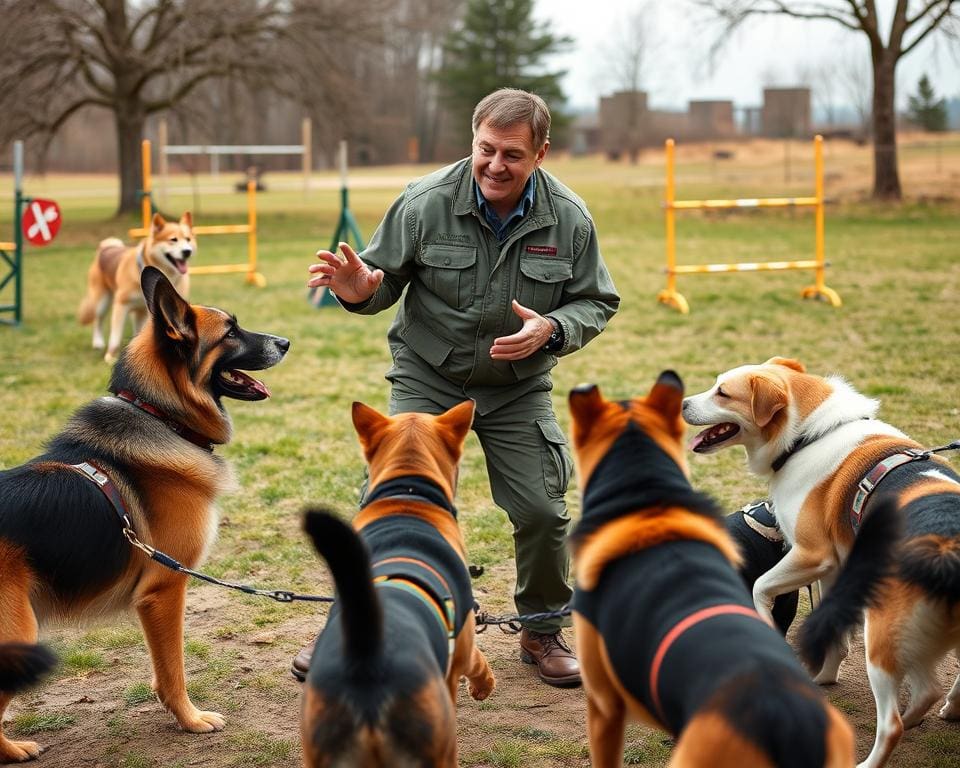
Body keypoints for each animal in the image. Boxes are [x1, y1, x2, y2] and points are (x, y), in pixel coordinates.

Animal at [300, 402, 496, 768]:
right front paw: (483, 686)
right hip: (438, 746)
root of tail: (366, 656)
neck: (408, 493)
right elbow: (477, 661)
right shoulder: (461, 644)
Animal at [684, 358, 960, 768]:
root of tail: (946, 548)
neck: (807, 437)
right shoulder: (836, 570)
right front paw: (826, 677)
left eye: (723, 393)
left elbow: (760, 587)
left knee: (898, 716)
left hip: (882, 636)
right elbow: (832, 631)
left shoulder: (813, 555)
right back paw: (937, 713)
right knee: (937, 689)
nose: (682, 403)